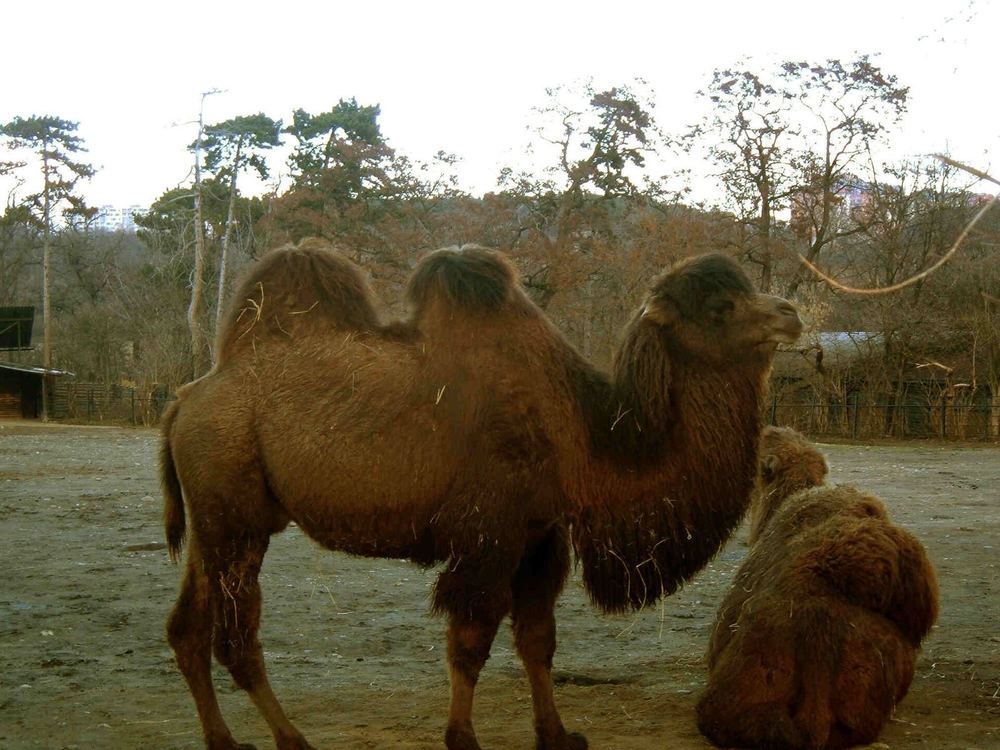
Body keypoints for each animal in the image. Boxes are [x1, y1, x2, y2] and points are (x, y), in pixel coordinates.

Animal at [161, 238, 803, 750]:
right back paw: (292, 739)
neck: (580, 428)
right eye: (721, 309)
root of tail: (183, 400)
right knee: (236, 637)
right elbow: (470, 642)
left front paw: (558, 735)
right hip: (235, 514)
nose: (792, 314)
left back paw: (224, 740)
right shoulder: (488, 534)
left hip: (214, 521)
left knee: (188, 627)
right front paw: (462, 738)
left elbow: (538, 641)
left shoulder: (541, 537)